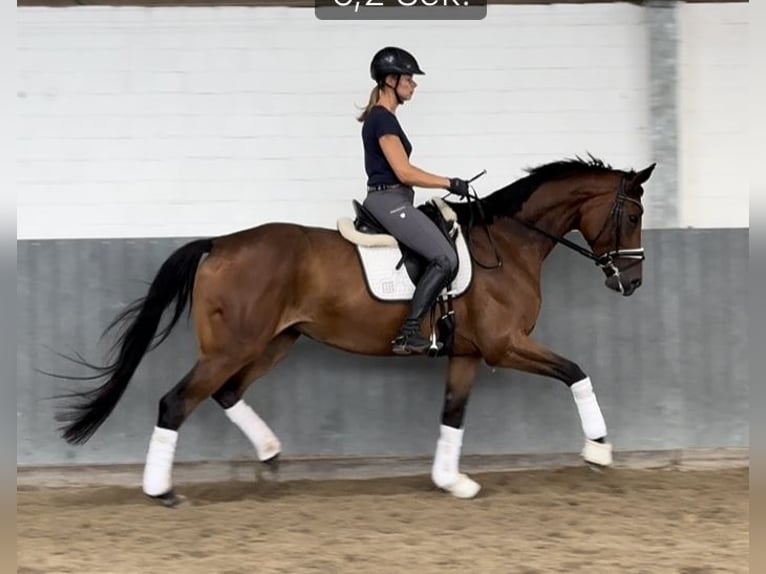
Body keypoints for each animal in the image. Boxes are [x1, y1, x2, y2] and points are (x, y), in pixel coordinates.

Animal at [51, 155, 655, 507]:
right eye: (631, 217)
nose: (632, 282)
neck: (507, 244)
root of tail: (219, 244)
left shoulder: (467, 354)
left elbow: (453, 414)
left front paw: (451, 481)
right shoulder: (505, 347)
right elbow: (576, 371)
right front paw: (599, 450)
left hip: (275, 342)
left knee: (225, 394)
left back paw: (270, 456)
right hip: (236, 346)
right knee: (176, 402)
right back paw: (162, 491)